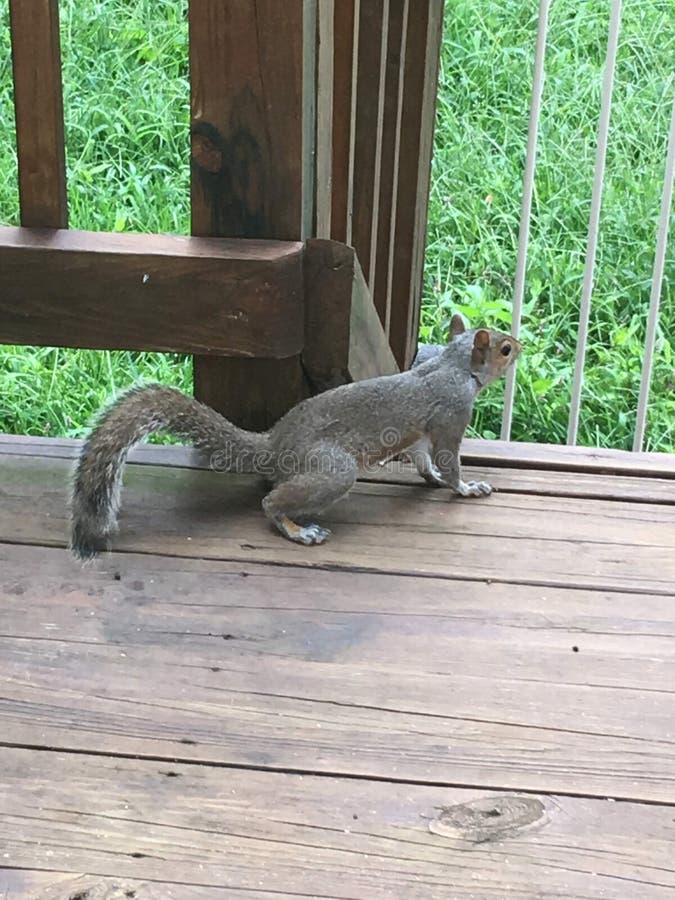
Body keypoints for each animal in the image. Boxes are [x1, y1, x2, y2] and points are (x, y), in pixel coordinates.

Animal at [69, 314, 521, 560]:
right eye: (504, 349)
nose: (522, 346)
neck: (453, 364)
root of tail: (273, 445)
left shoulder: (423, 433)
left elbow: (423, 459)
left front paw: (430, 479)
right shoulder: (451, 415)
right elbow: (449, 460)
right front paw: (467, 487)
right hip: (331, 470)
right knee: (271, 502)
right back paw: (298, 529)